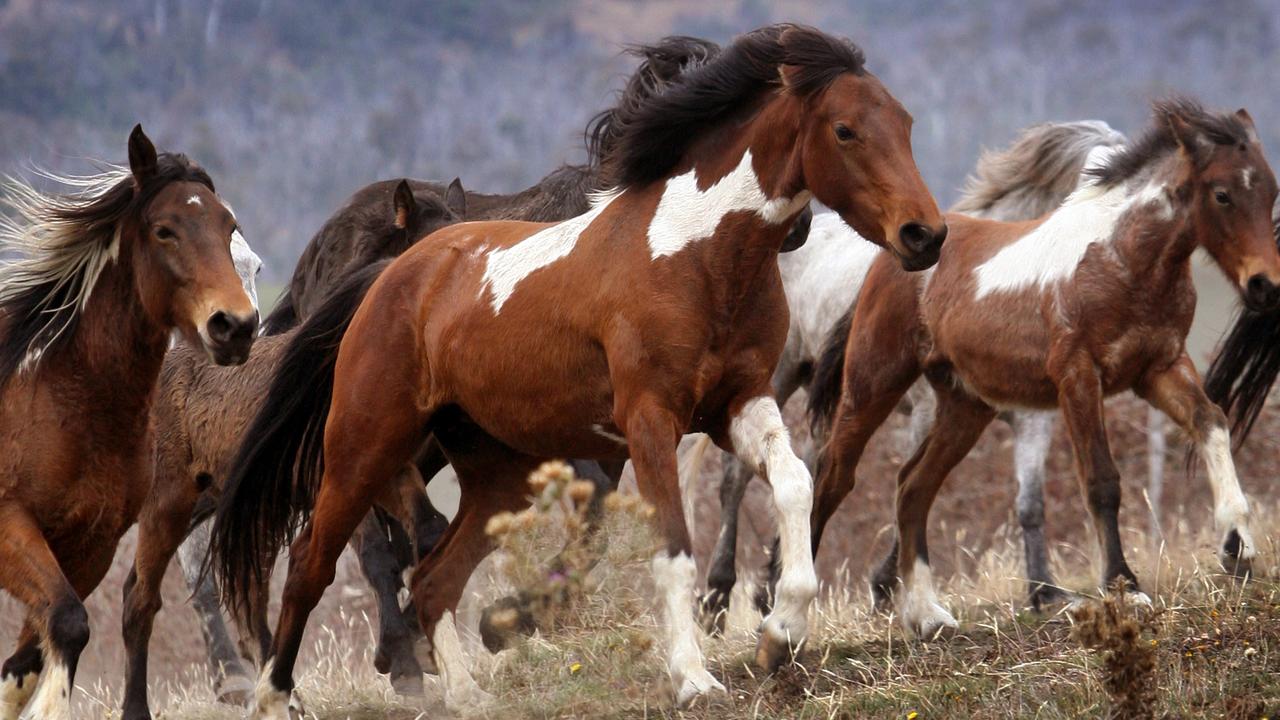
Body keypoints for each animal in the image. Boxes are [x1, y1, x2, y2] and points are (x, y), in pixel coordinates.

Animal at [0, 127, 257, 717]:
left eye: (228, 226)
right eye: (164, 230)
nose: (235, 326)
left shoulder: (90, 546)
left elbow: (30, 656)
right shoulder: (10, 524)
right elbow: (68, 624)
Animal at [212, 23, 952, 712]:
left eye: (908, 124)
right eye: (846, 129)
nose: (925, 235)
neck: (697, 257)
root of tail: (389, 274)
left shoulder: (739, 402)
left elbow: (795, 483)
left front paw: (781, 632)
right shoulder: (649, 420)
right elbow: (672, 545)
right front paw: (693, 679)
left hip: (497, 474)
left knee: (432, 576)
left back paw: (468, 693)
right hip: (365, 445)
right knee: (316, 564)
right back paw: (281, 697)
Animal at [808, 98, 1280, 635]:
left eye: (1270, 190)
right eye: (1222, 194)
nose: (1265, 285)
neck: (1121, 259)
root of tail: (894, 257)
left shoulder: (1158, 368)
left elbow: (1211, 422)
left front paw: (1238, 548)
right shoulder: (1078, 376)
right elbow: (1101, 481)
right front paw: (1125, 586)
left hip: (965, 406)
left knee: (912, 485)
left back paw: (927, 616)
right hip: (874, 383)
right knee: (832, 476)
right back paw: (786, 620)